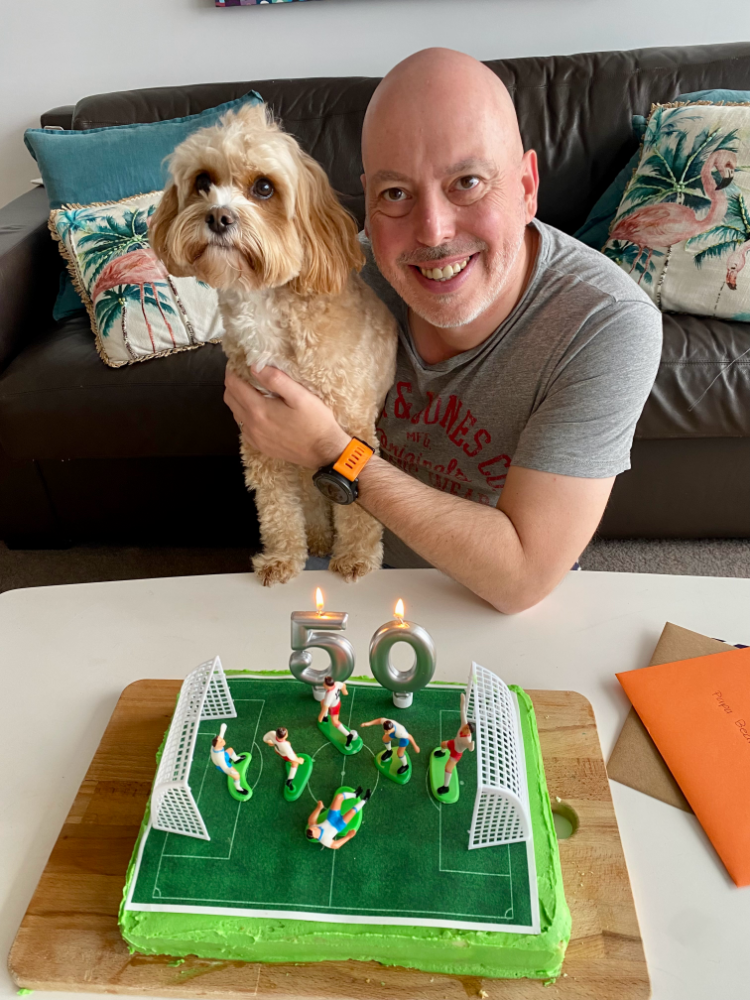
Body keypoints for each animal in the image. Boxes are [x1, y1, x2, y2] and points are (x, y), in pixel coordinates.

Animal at [150, 103, 402, 584]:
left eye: (264, 187)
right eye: (203, 182)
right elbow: (276, 507)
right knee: (308, 495)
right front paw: (284, 557)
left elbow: (358, 509)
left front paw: (357, 557)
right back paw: (318, 538)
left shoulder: (351, 424)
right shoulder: (259, 437)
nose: (219, 217)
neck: (264, 304)